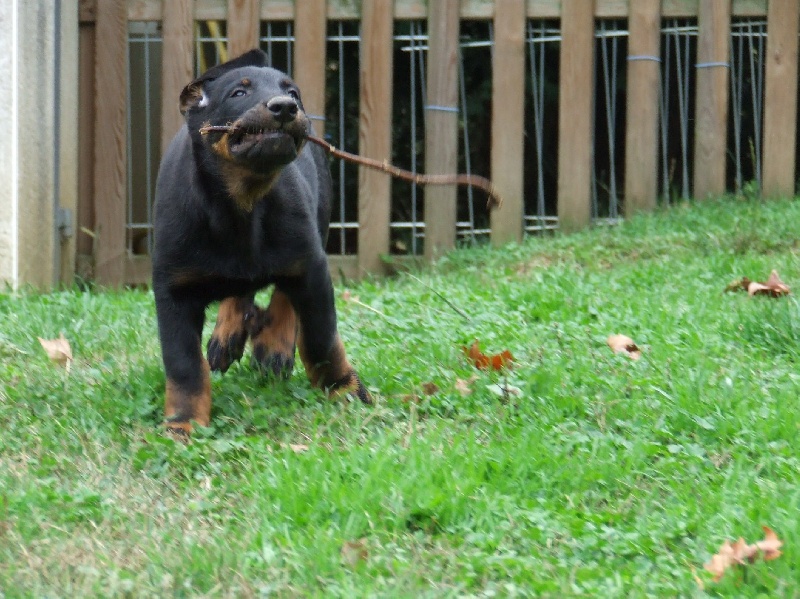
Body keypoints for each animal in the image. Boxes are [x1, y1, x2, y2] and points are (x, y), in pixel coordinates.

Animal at [152, 49, 370, 434]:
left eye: (292, 92)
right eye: (238, 93)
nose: (285, 107)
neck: (242, 205)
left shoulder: (311, 265)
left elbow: (321, 338)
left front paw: (344, 388)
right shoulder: (172, 289)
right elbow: (183, 364)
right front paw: (184, 423)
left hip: (317, 225)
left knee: (284, 293)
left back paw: (274, 347)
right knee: (241, 291)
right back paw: (227, 335)